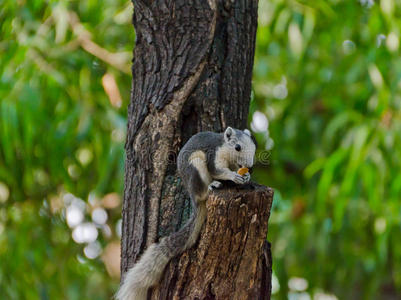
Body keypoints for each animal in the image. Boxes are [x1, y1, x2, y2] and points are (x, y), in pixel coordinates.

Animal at [115, 126, 256, 300]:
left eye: (253, 145)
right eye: (237, 147)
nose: (249, 165)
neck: (225, 149)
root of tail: (194, 199)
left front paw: (246, 175)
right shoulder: (213, 156)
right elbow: (218, 170)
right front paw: (232, 175)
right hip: (196, 166)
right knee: (203, 190)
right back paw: (211, 187)